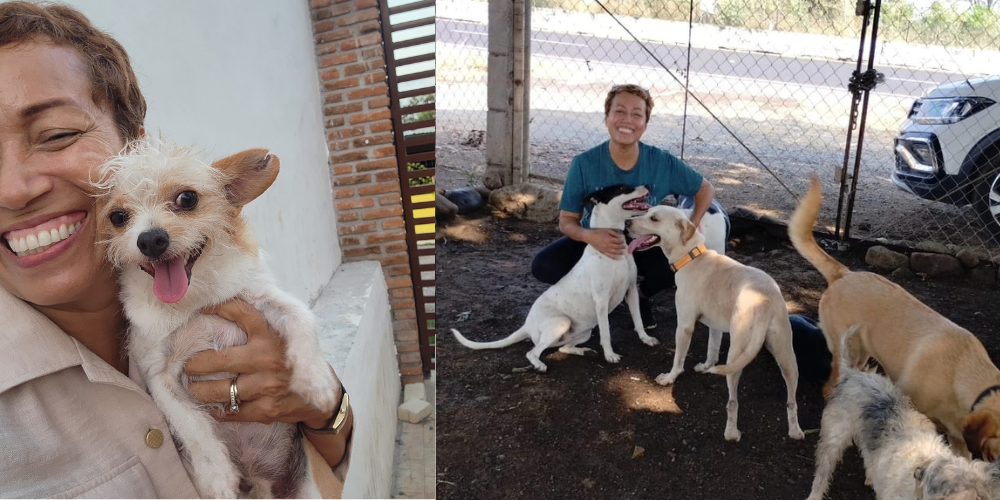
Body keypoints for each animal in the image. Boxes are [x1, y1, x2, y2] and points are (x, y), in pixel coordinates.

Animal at [97, 139, 340, 498]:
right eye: (118, 217)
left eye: (187, 198)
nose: (151, 240)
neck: (194, 302)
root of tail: (260, 481)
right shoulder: (160, 377)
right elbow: (195, 428)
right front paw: (217, 477)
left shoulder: (261, 298)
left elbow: (302, 318)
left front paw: (316, 381)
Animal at [454, 184, 656, 372]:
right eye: (622, 188)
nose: (647, 185)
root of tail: (527, 324)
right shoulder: (601, 300)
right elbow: (606, 333)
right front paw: (610, 355)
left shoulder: (631, 291)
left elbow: (638, 320)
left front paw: (645, 338)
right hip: (561, 322)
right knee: (533, 352)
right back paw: (539, 365)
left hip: (584, 332)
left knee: (563, 348)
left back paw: (583, 351)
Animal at [792, 174, 1000, 458]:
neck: (963, 376)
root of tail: (845, 274)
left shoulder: (959, 434)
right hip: (846, 351)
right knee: (830, 387)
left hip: (863, 352)